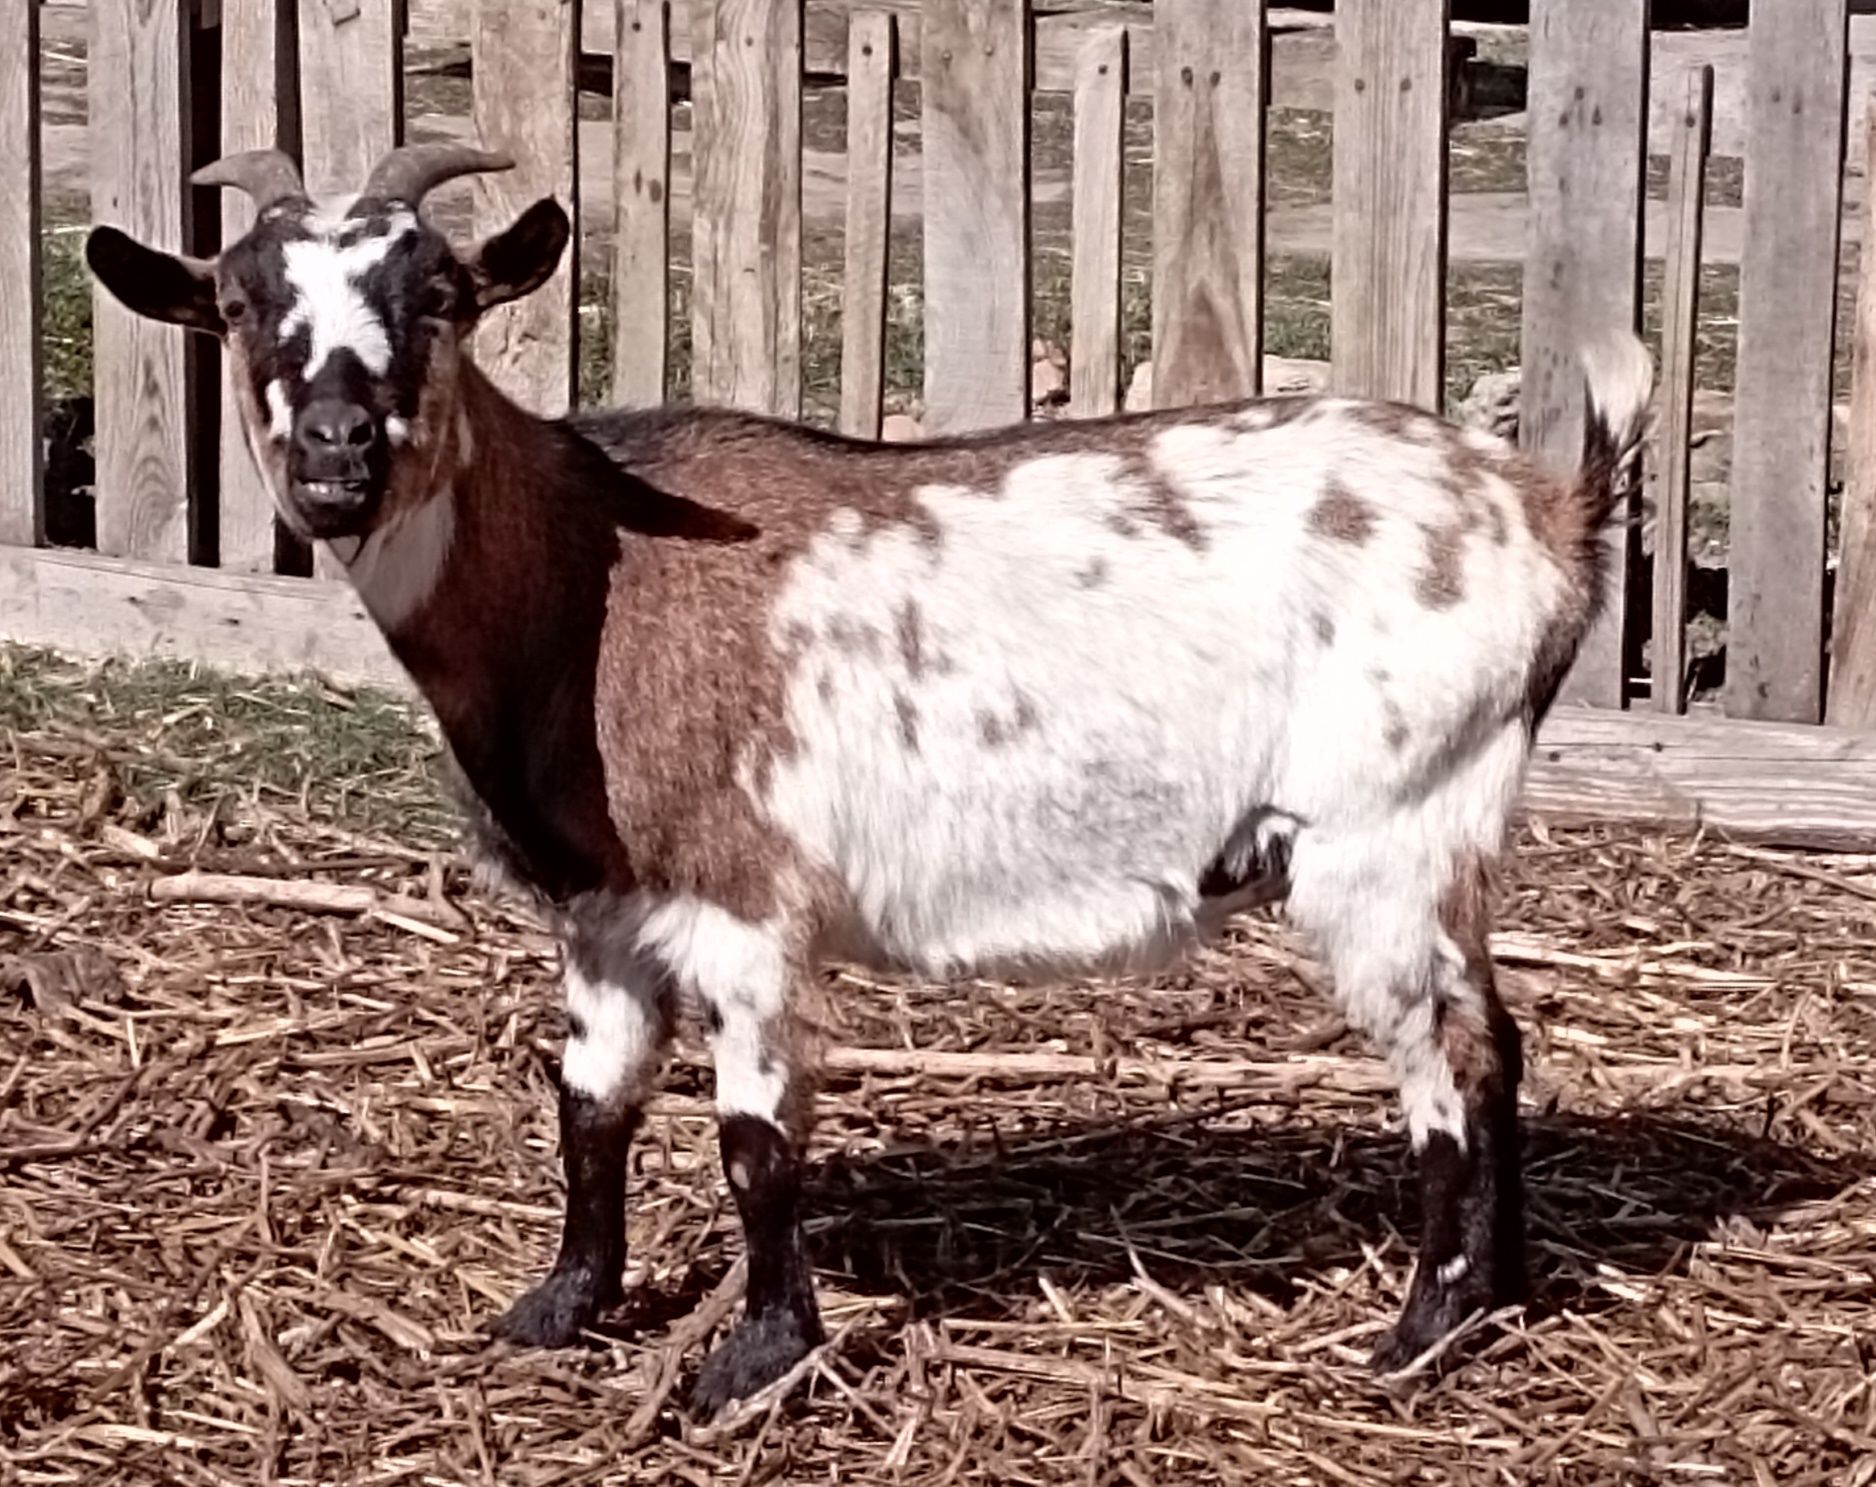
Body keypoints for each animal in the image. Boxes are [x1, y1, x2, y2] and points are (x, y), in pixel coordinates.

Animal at [88, 145, 1650, 1410]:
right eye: (239, 302)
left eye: (440, 296)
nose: (336, 453)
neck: (591, 572)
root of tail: (1549, 511)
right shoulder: (601, 912)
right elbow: (592, 1099)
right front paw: (559, 1307)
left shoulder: (745, 902)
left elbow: (755, 1133)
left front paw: (752, 1358)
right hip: (1442, 845)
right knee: (1501, 1037)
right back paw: (1503, 1291)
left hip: (1384, 830)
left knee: (1443, 1058)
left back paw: (1418, 1329)